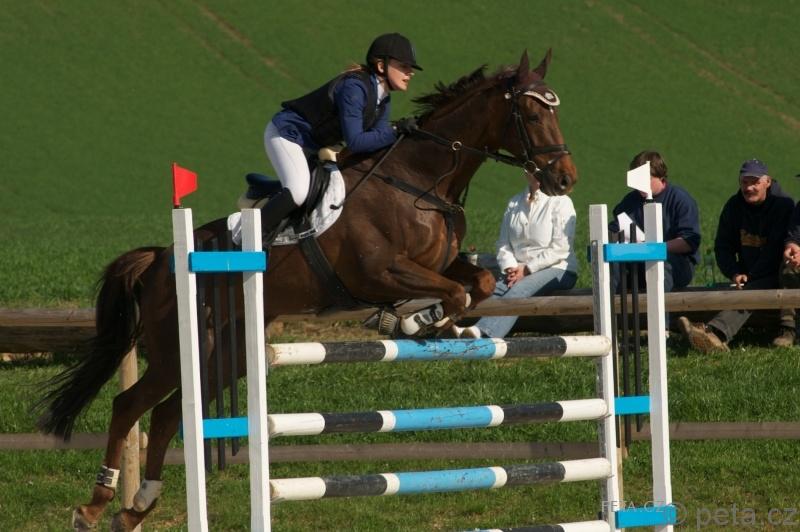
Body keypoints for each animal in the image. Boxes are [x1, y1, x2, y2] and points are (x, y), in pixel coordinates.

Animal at [36, 49, 577, 531]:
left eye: (556, 110)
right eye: (532, 113)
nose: (565, 179)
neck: (420, 181)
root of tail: (159, 258)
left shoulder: (440, 264)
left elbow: (477, 283)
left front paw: (425, 322)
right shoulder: (380, 272)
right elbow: (452, 294)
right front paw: (416, 320)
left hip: (228, 351)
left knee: (169, 414)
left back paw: (136, 508)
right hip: (176, 348)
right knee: (129, 406)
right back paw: (94, 506)